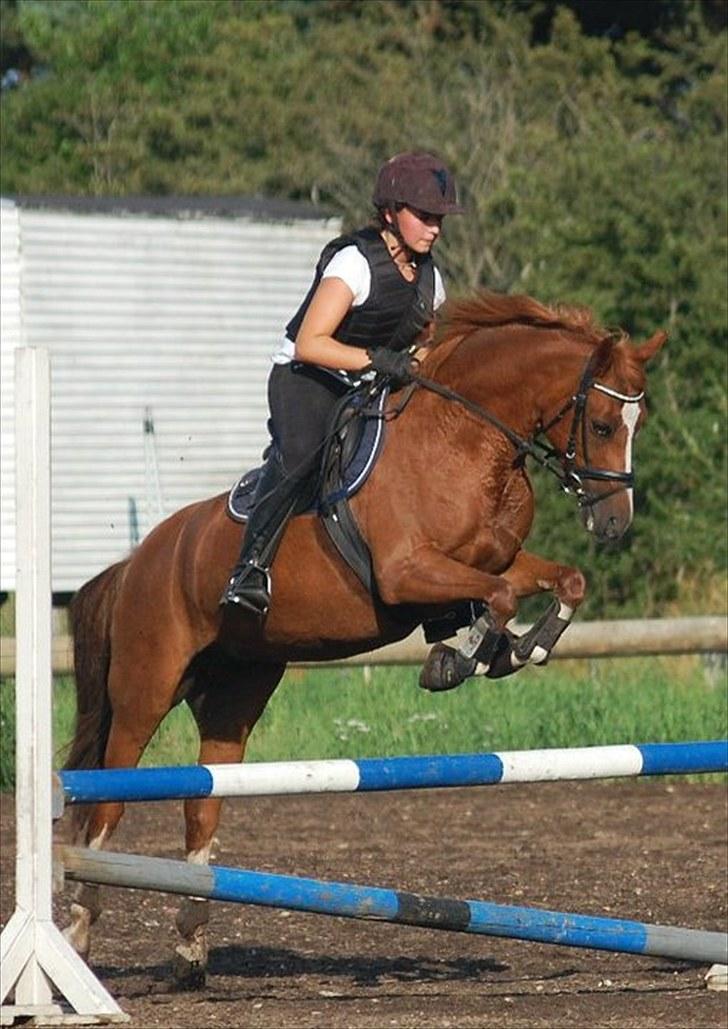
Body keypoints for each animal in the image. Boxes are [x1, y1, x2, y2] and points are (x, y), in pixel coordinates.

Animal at [62, 290, 666, 984]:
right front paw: (459, 658)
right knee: (107, 804)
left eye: (639, 424)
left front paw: (521, 647)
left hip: (236, 694)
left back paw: (190, 948)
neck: (466, 439)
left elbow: (564, 580)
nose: (615, 523)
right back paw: (79, 932)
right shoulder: (408, 572)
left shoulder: (495, 561)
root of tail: (138, 561)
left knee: (202, 804)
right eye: (604, 425)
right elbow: (501, 597)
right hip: (146, 688)